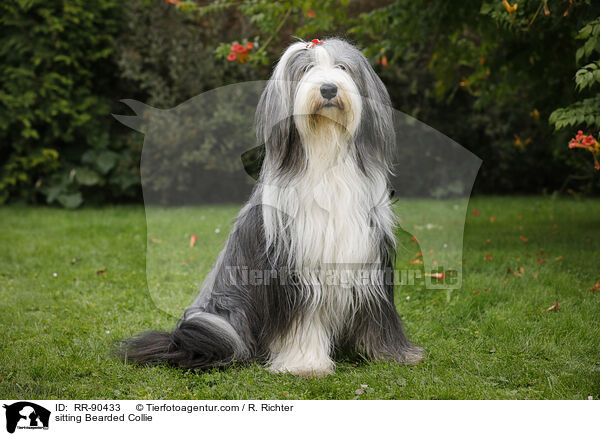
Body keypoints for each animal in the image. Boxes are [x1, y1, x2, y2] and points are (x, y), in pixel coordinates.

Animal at [120, 39, 422, 376]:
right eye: (306, 69)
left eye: (343, 67)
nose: (328, 88)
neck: (326, 155)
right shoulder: (293, 269)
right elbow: (302, 321)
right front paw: (305, 364)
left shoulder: (368, 257)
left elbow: (378, 315)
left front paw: (392, 353)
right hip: (225, 316)